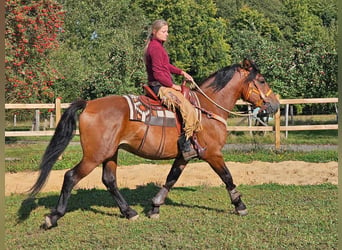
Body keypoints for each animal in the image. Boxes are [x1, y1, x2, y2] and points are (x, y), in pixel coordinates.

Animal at [28, 58, 280, 229]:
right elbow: (228, 177)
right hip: (93, 156)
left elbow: (171, 178)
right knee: (71, 176)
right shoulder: (212, 154)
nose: (275, 105)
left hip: (110, 154)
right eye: (262, 80)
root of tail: (89, 104)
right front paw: (240, 206)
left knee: (109, 180)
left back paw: (129, 212)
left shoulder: (183, 155)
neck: (207, 110)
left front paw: (155, 206)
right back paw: (53, 217)